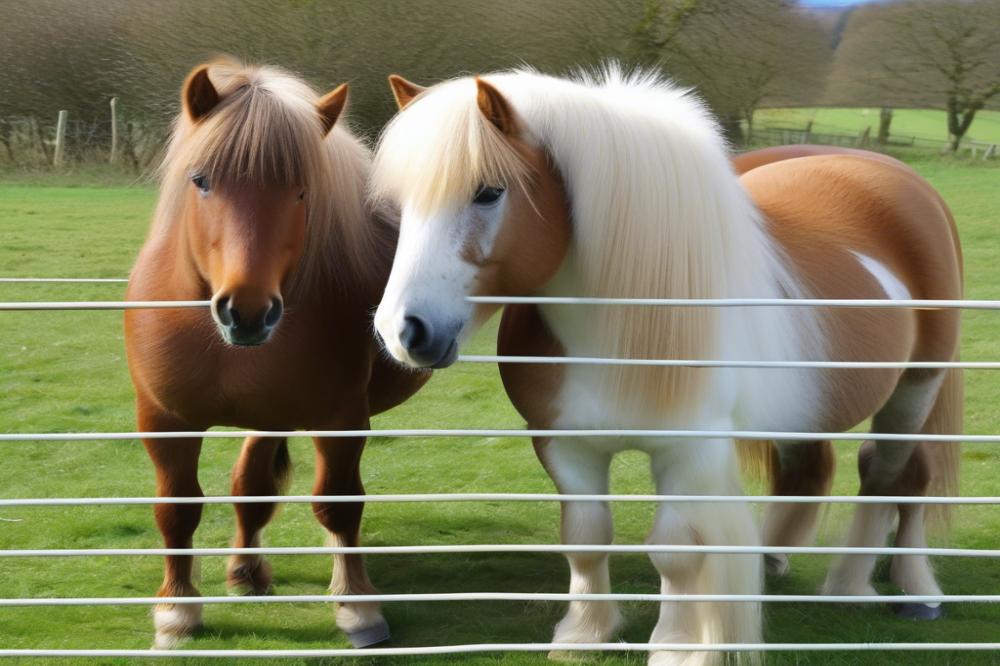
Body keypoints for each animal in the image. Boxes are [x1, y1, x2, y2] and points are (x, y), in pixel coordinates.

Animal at [124, 59, 426, 644]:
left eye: (302, 190)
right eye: (201, 180)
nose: (247, 311)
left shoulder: (340, 420)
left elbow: (339, 503)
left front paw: (358, 606)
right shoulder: (164, 422)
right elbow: (176, 509)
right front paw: (176, 610)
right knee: (251, 484)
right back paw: (245, 569)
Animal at [370, 68, 960, 664]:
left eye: (489, 191)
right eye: (401, 204)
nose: (405, 330)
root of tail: (897, 175)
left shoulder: (688, 455)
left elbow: (677, 553)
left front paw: (676, 646)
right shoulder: (565, 445)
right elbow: (585, 538)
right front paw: (583, 635)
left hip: (915, 390)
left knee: (894, 475)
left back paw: (890, 588)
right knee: (811, 469)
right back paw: (777, 561)